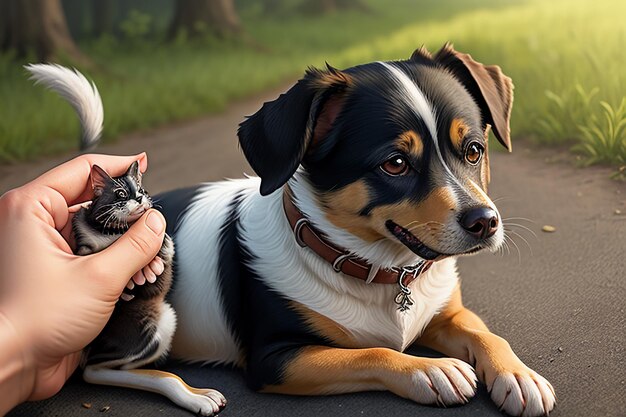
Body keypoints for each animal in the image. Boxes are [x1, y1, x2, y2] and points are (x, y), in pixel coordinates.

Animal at [75, 162, 178, 370]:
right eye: (121, 193)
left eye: (141, 190)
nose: (139, 197)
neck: (120, 231)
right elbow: (85, 250)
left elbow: (165, 255)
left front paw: (149, 270)